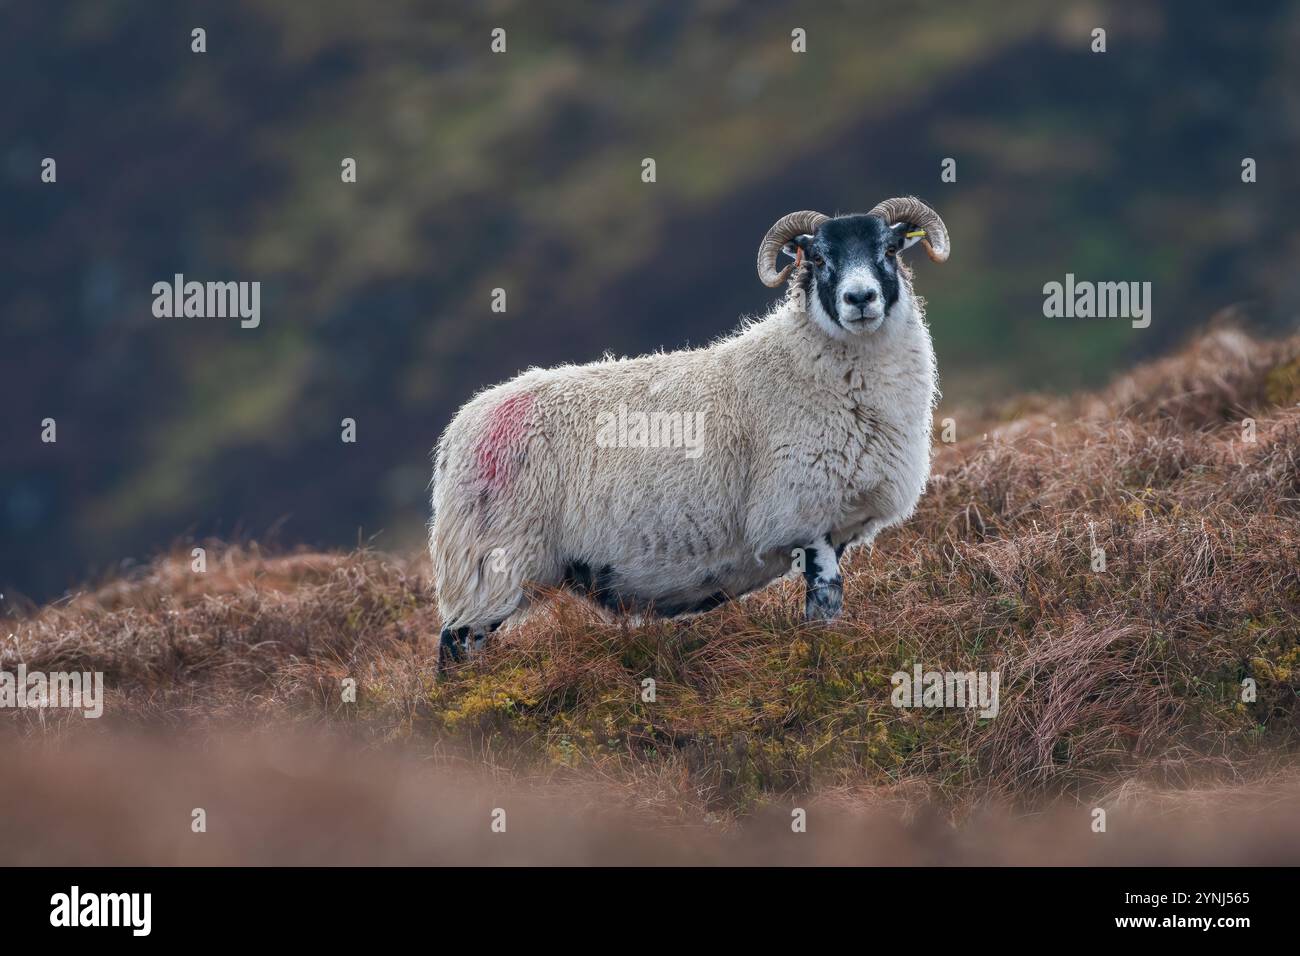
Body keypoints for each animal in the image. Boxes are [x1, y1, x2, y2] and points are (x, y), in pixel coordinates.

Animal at [431, 197, 951, 671]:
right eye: (818, 258)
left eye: (889, 249)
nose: (860, 299)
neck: (802, 363)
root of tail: (462, 426)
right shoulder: (802, 514)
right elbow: (824, 602)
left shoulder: (837, 518)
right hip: (492, 558)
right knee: (455, 646)